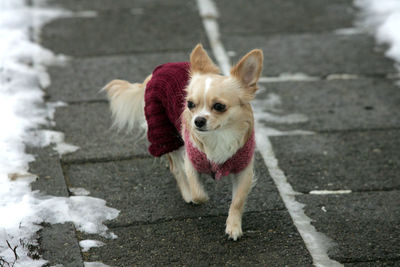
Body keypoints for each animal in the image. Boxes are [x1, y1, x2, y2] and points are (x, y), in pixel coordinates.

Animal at [104, 44, 264, 241]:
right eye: (190, 104)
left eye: (219, 107)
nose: (198, 120)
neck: (219, 134)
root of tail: (159, 69)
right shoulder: (191, 162)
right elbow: (197, 191)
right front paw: (198, 195)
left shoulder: (243, 170)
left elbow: (237, 201)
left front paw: (233, 227)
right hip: (164, 135)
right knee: (177, 168)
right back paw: (186, 192)